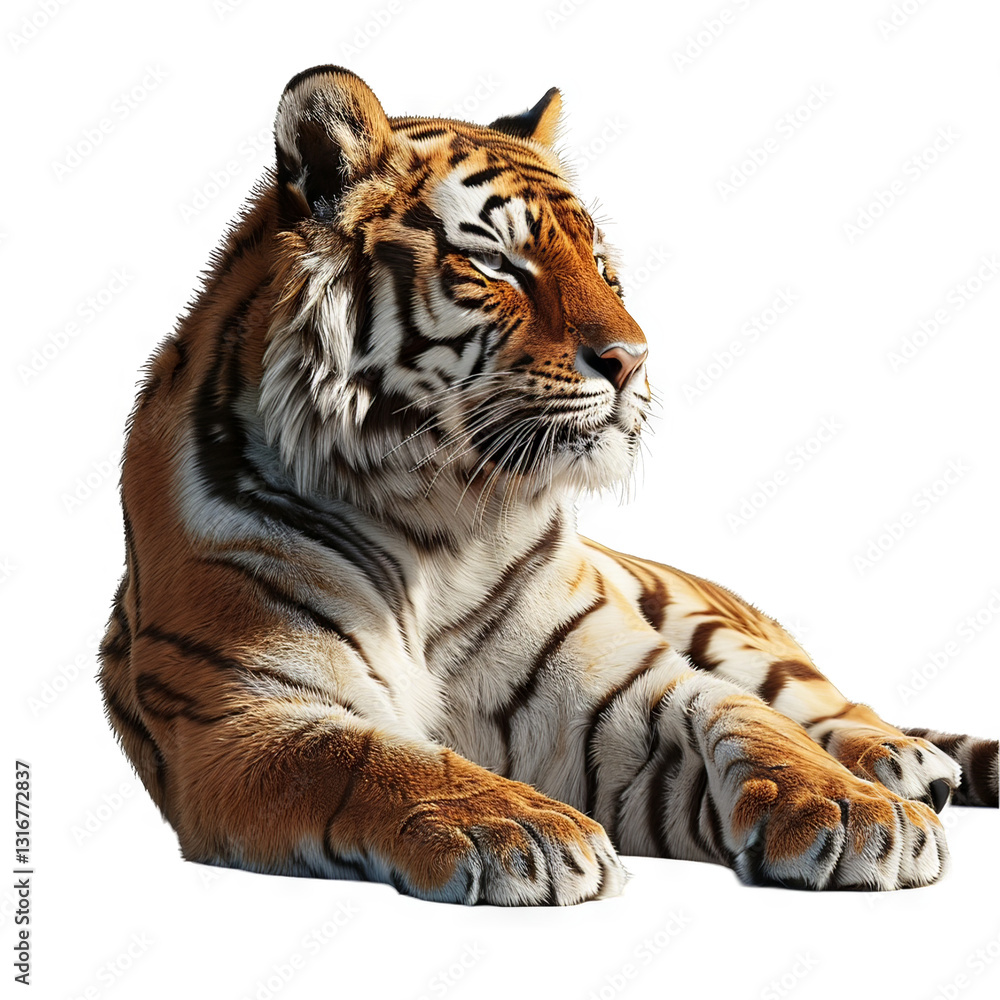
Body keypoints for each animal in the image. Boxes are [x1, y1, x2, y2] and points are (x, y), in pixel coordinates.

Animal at [99, 65, 998, 905]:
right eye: (496, 262)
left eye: (600, 265)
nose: (633, 360)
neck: (442, 520)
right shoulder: (245, 709)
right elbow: (366, 754)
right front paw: (519, 823)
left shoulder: (616, 683)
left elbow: (748, 718)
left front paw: (855, 810)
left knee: (821, 706)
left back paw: (902, 762)